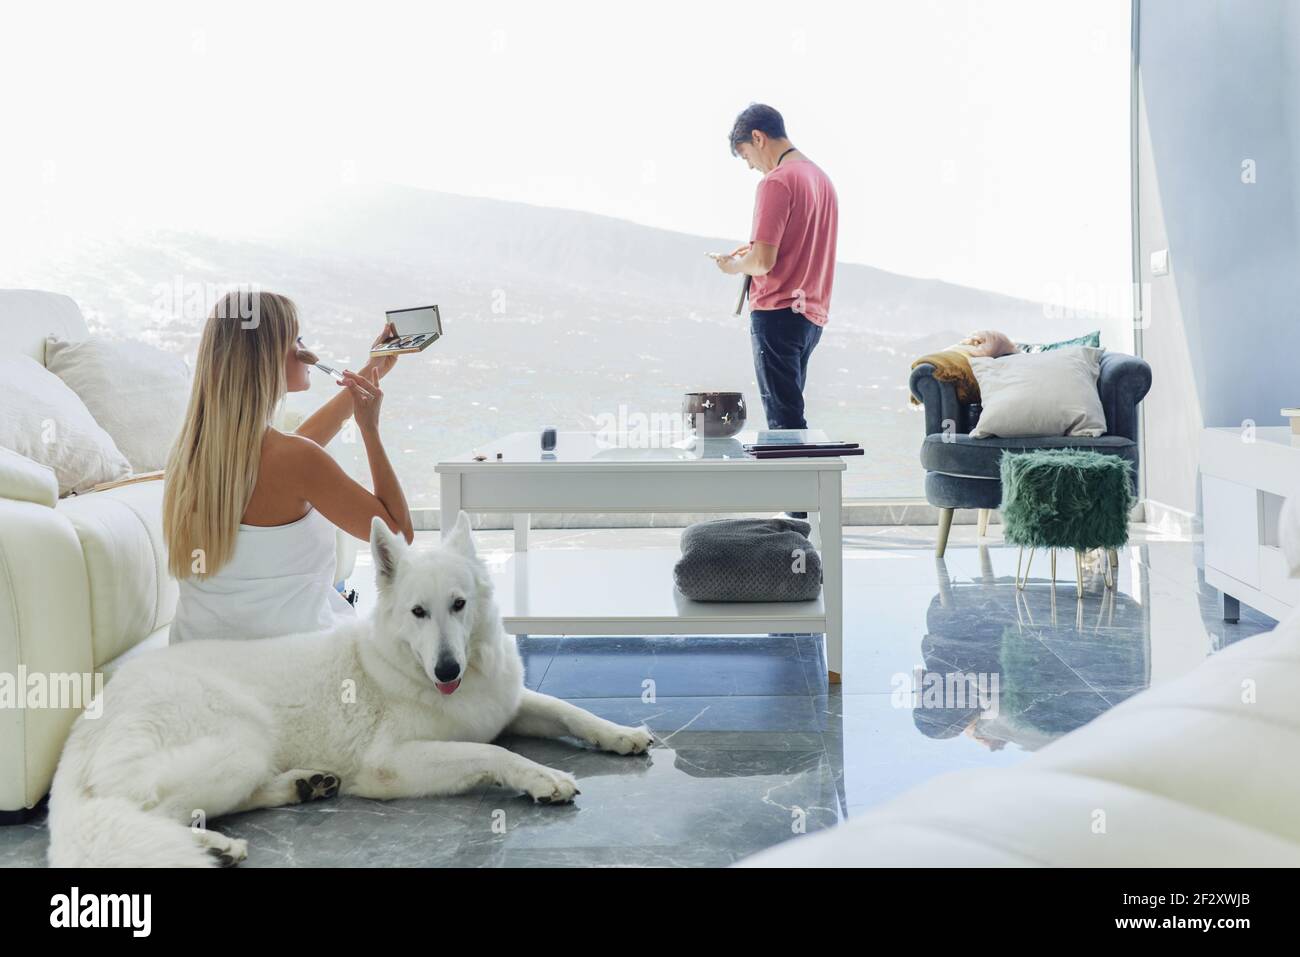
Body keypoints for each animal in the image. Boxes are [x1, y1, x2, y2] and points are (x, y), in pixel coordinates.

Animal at [50, 514, 655, 868]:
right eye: (418, 612)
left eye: (459, 605)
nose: (447, 669)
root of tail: (88, 719)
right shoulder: (393, 764)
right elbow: (492, 753)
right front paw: (543, 777)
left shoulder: (507, 705)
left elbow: (566, 710)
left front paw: (621, 734)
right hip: (237, 745)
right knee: (139, 811)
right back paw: (214, 847)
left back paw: (296, 789)